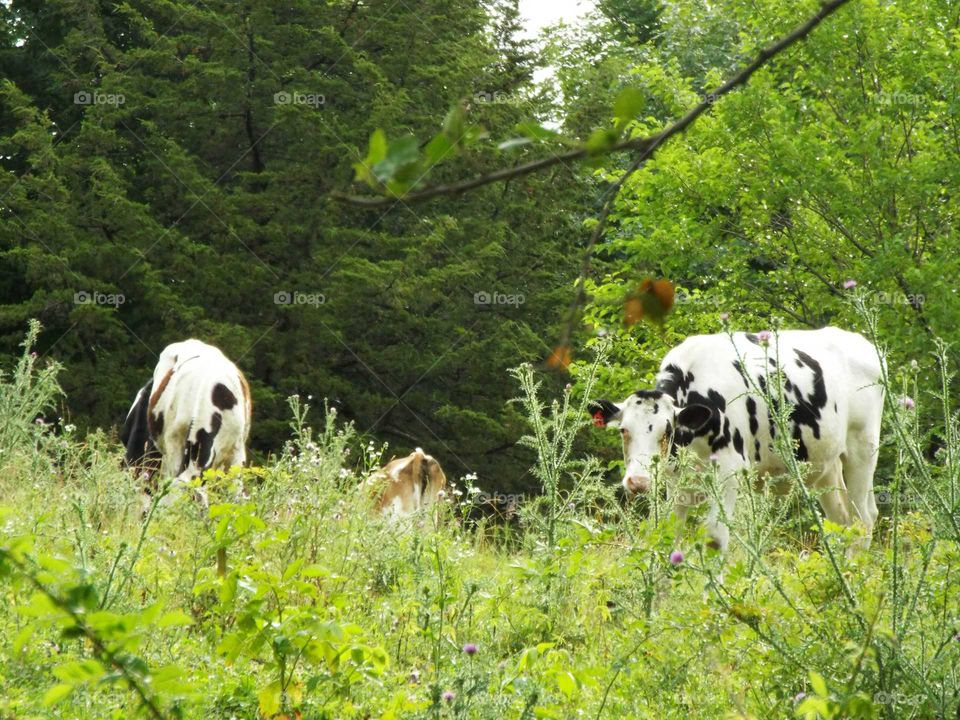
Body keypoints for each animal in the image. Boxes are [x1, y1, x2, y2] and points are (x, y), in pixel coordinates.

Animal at [588, 327, 883, 551]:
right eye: (623, 430)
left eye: (667, 430)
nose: (637, 481)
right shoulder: (677, 481)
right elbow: (668, 534)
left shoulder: (730, 472)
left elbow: (715, 537)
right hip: (825, 463)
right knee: (843, 521)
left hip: (863, 449)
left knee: (863, 520)